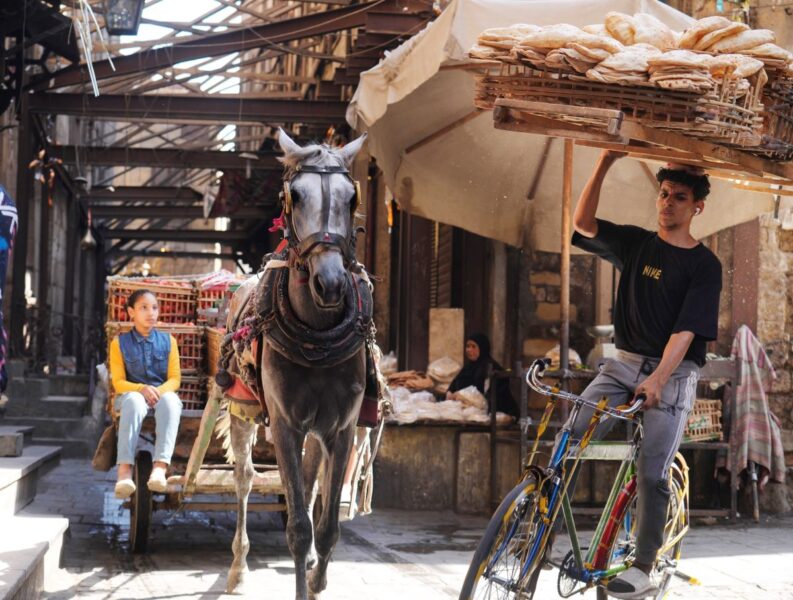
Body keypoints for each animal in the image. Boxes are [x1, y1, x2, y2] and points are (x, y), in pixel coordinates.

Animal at [226, 130, 368, 600]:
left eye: (351, 198)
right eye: (295, 195)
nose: (331, 283)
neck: (317, 337)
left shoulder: (341, 428)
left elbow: (325, 526)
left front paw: (317, 578)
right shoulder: (286, 424)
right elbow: (299, 529)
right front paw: (303, 580)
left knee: (306, 484)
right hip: (241, 410)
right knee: (245, 479)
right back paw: (237, 567)